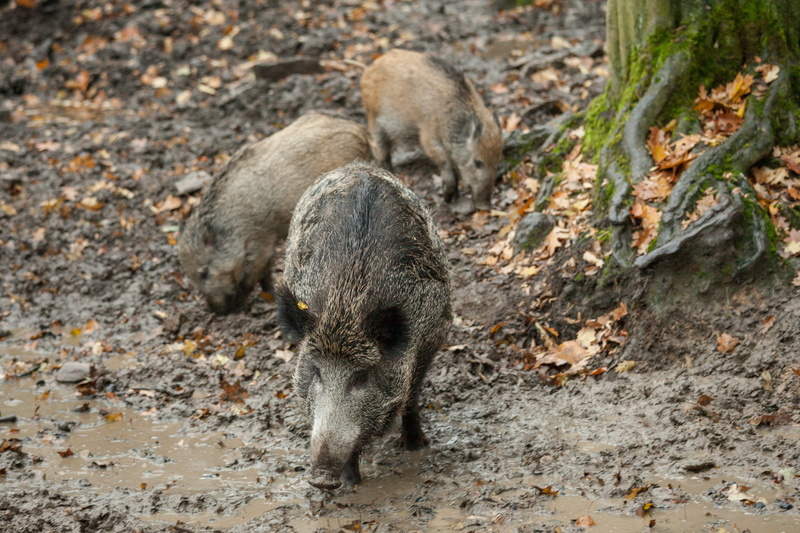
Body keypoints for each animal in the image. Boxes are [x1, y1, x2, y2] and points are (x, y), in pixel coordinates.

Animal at [178, 112, 372, 315]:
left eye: (204, 272)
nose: (217, 311)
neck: (233, 225)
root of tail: (359, 131)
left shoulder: (261, 241)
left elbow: (254, 275)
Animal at [276, 162, 452, 490]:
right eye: (316, 371)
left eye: (361, 376)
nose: (321, 478)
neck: (345, 305)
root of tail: (359, 166)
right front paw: (350, 485)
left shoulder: (431, 337)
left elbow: (411, 396)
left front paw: (416, 448)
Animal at [360, 49, 503, 210]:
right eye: (477, 162)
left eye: (497, 161)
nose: (485, 206)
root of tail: (369, 69)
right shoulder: (428, 137)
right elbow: (445, 162)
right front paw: (448, 198)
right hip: (373, 120)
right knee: (381, 152)